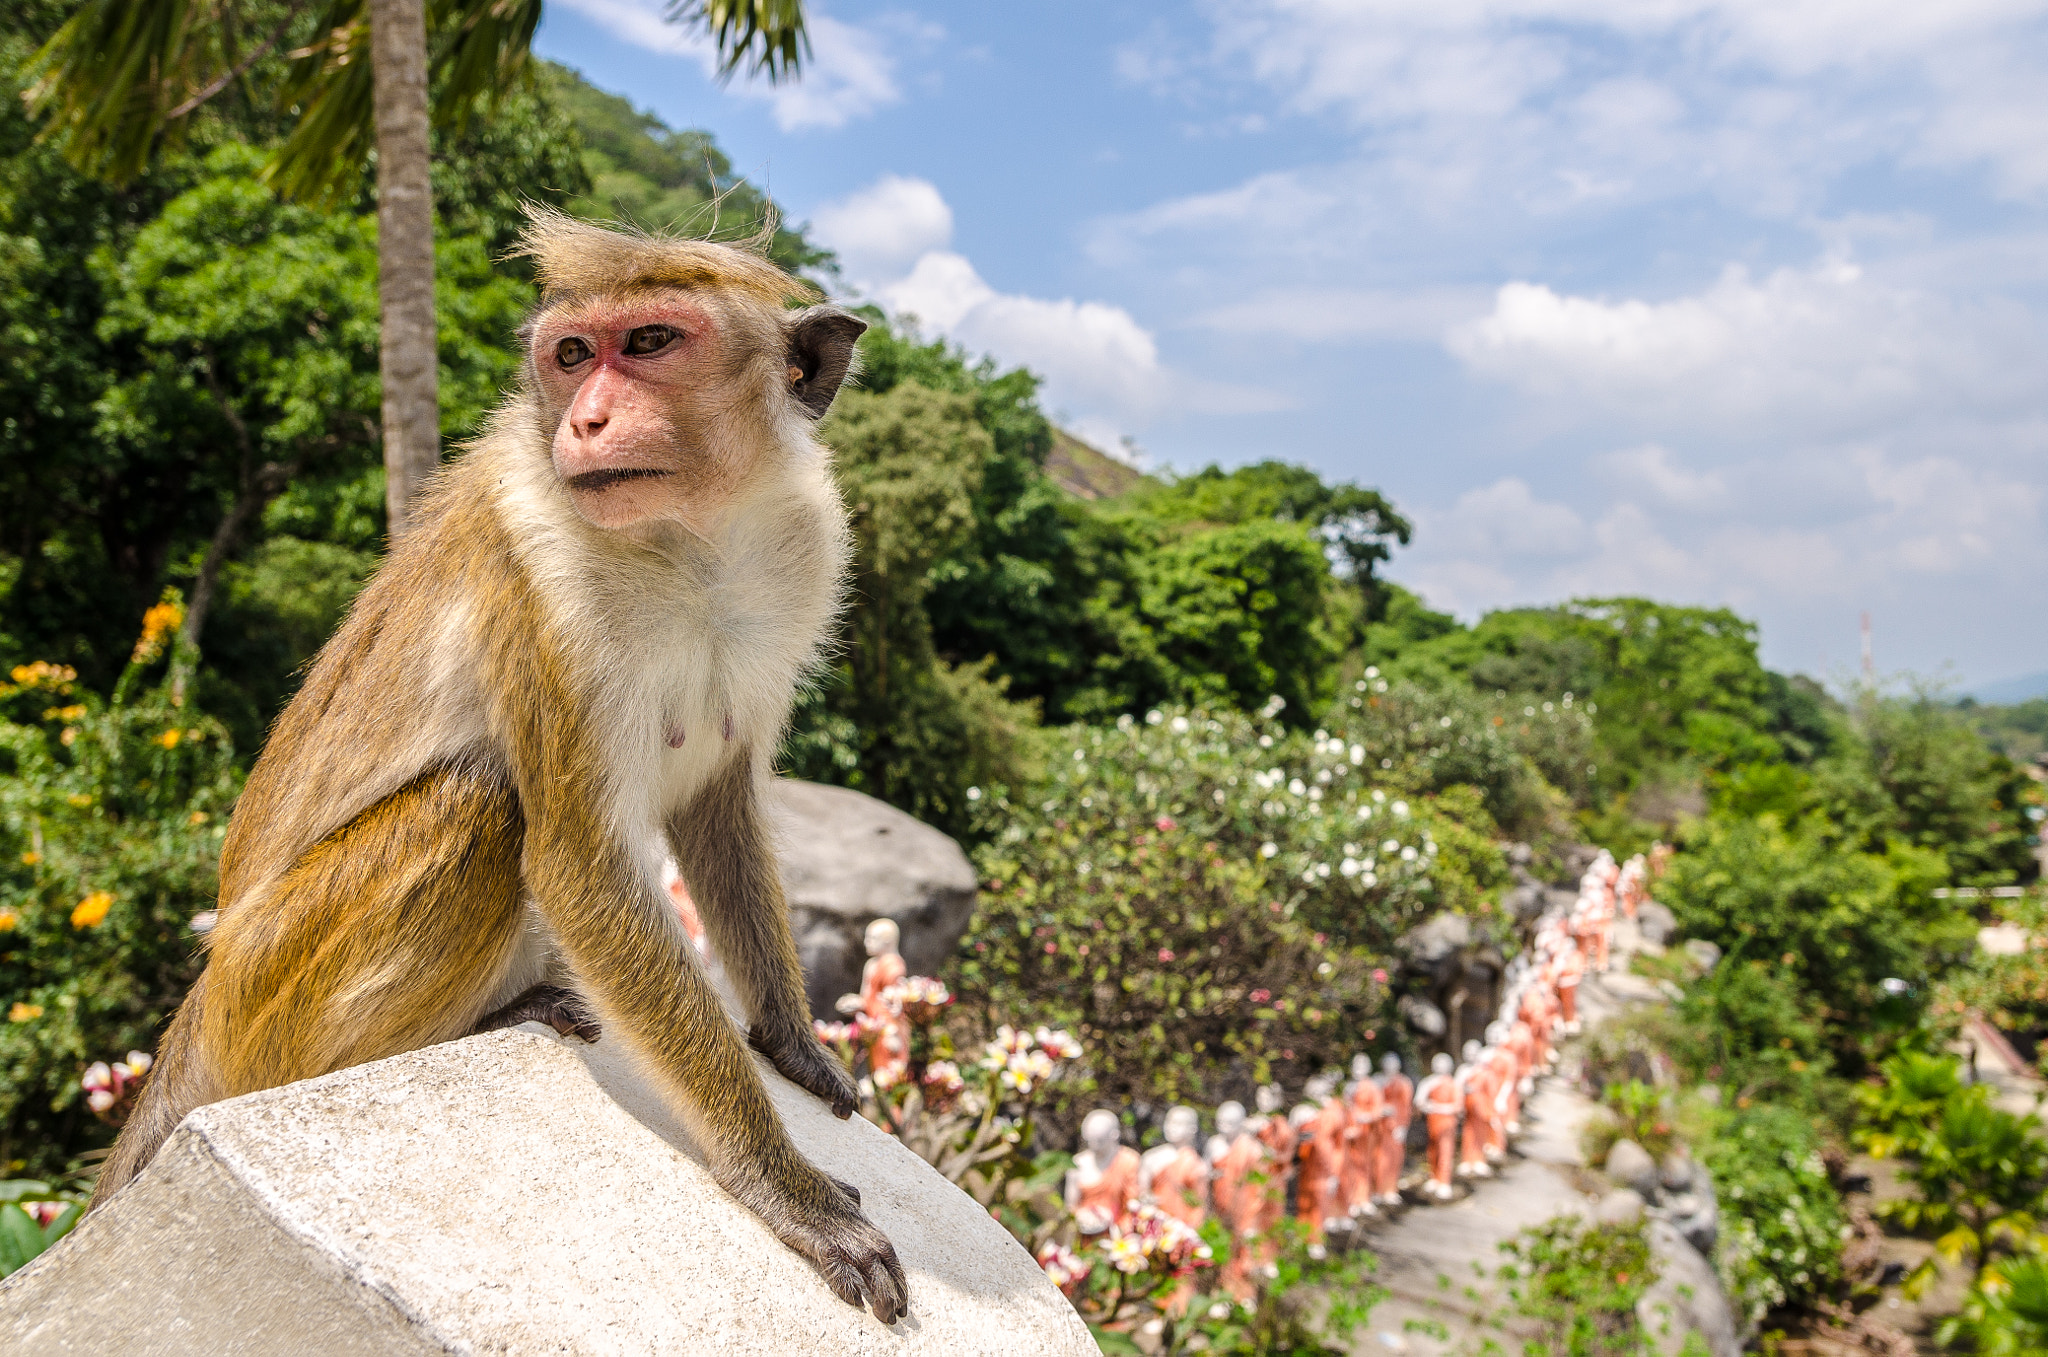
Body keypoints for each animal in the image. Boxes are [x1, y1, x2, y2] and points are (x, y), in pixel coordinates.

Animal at [93, 209, 907, 1324]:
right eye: (571, 357)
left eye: (649, 342)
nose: (588, 420)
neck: (686, 542)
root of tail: (202, 1001)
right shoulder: (545, 580)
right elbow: (576, 867)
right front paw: (782, 1186)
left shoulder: (802, 558)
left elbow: (715, 804)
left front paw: (793, 1042)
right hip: (270, 993)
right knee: (483, 797)